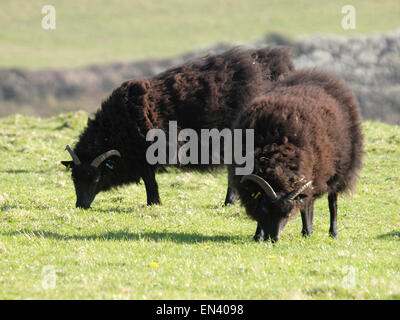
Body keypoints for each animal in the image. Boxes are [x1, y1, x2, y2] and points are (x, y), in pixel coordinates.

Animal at [61, 46, 294, 209]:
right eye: (74, 178)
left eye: (96, 178)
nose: (81, 206)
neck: (117, 126)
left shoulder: (146, 153)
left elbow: (150, 181)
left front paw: (153, 203)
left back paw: (230, 201)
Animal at [230, 69, 364, 241]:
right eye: (265, 209)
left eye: (287, 214)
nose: (274, 238)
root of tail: (322, 75)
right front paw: (258, 235)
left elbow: (306, 207)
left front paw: (308, 231)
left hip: (337, 171)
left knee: (331, 202)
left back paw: (331, 232)